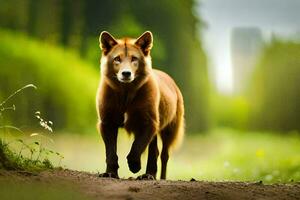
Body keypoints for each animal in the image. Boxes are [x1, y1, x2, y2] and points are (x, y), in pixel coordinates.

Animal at [97, 30, 184, 180]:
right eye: (117, 59)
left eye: (134, 59)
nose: (126, 73)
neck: (125, 95)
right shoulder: (107, 123)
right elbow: (111, 152)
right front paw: (110, 173)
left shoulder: (149, 123)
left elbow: (137, 146)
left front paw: (134, 166)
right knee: (155, 151)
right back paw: (149, 174)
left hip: (169, 130)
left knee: (164, 155)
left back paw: (157, 177)